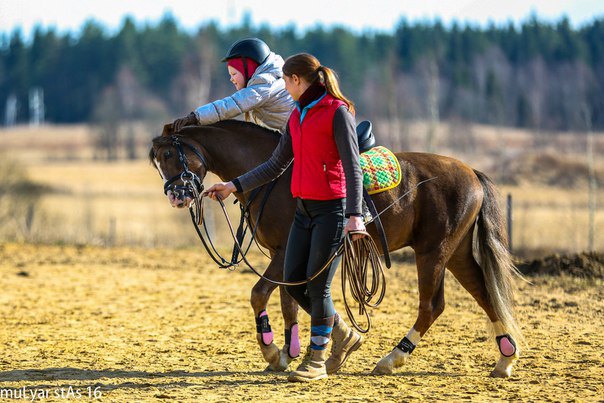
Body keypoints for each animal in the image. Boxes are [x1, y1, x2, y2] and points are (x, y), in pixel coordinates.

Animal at [149, 120, 520, 378]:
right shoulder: (289, 256)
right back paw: (505, 360)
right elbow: (290, 300)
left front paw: (276, 350)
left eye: (168, 154)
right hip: (455, 253)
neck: (276, 177)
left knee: (432, 305)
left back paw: (392, 359)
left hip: (433, 252)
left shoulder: (286, 252)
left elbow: (262, 294)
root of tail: (471, 172)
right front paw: (294, 352)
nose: (176, 197)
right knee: (484, 294)